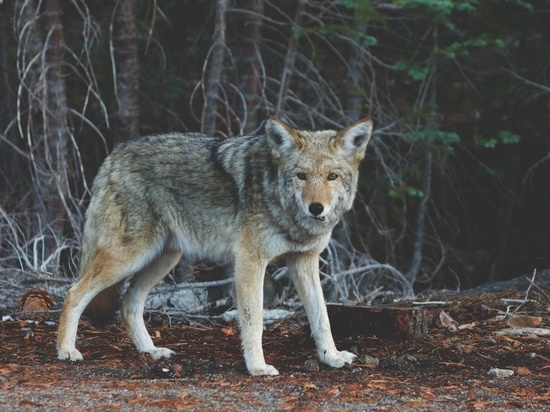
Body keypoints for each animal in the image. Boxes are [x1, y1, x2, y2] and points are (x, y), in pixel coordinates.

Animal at [56, 116, 376, 376]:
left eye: (332, 176)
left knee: (128, 303)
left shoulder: (304, 261)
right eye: (302, 176)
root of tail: (114, 155)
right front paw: (257, 368)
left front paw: (331, 357)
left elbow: (322, 317)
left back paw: (151, 351)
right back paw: (67, 351)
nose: (316, 208)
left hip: (163, 259)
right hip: (130, 257)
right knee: (74, 293)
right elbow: (254, 320)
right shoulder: (250, 261)